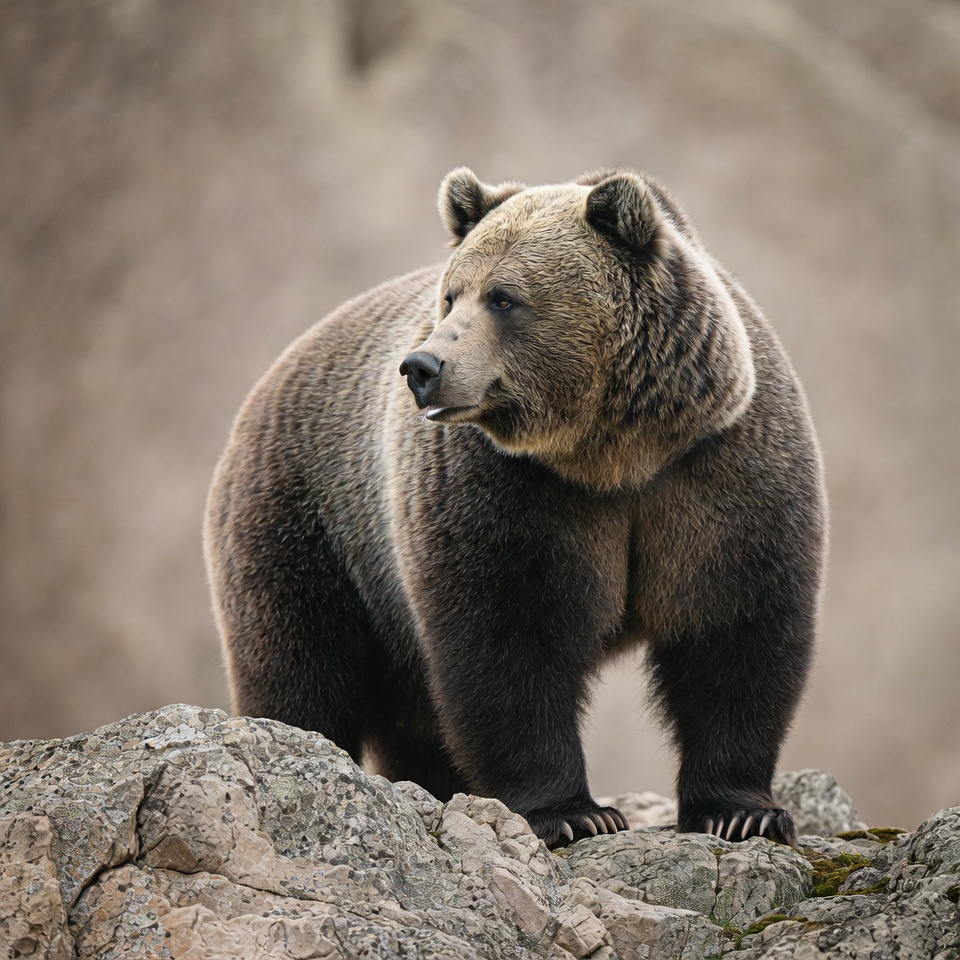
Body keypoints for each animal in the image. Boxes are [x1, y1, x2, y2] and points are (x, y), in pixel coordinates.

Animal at [204, 167, 827, 848]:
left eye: (503, 298)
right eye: (452, 295)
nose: (422, 366)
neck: (614, 452)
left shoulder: (719, 471)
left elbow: (734, 627)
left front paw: (742, 811)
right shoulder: (502, 490)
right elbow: (509, 639)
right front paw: (573, 814)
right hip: (312, 520)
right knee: (300, 665)